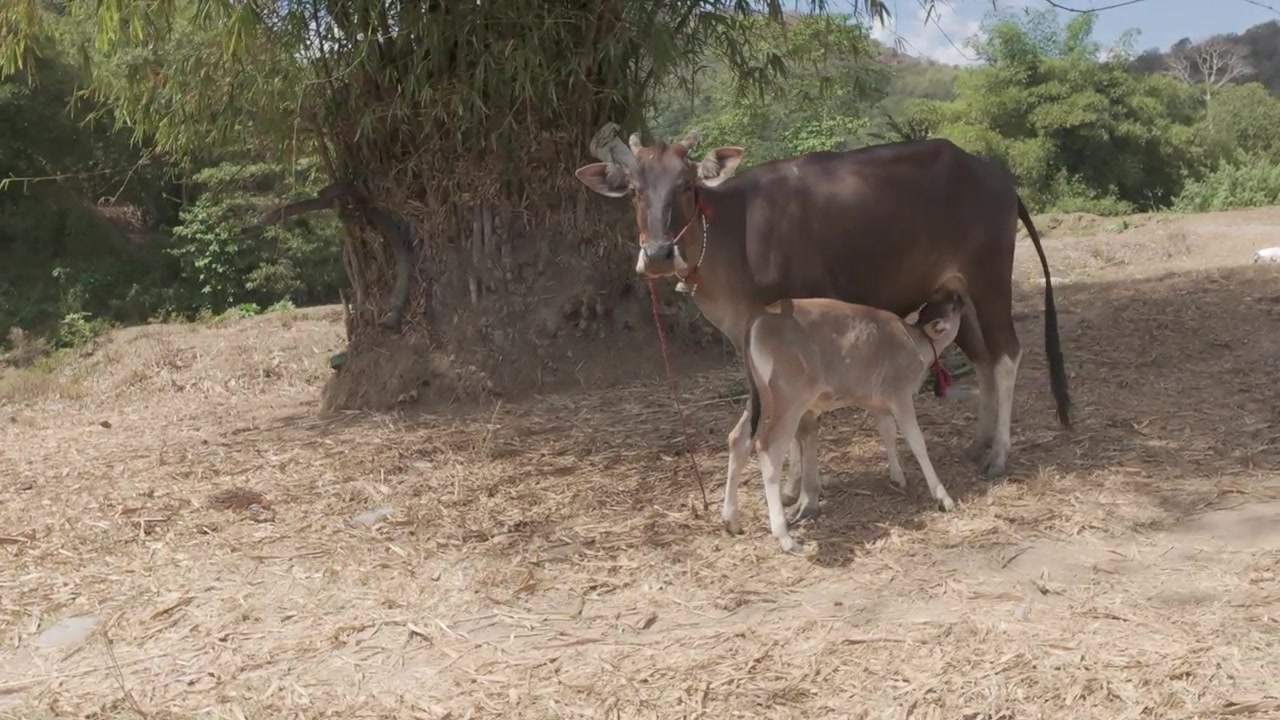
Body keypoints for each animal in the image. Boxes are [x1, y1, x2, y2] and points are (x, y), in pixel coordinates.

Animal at [573, 123, 1070, 523]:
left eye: (686, 184)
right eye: (634, 189)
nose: (658, 255)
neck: (734, 236)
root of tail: (997, 178)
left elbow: (804, 423)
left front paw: (803, 495)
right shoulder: (748, 340)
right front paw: (793, 488)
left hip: (989, 280)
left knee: (1006, 356)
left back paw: (999, 454)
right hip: (958, 297)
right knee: (984, 361)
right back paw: (979, 443)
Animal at [725, 279, 968, 553]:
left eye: (942, 296)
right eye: (952, 304)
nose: (959, 291)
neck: (915, 343)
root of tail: (760, 317)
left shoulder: (877, 403)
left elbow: (887, 433)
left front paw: (897, 477)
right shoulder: (900, 393)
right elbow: (917, 442)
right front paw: (943, 497)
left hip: (761, 398)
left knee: (739, 438)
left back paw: (731, 520)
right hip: (789, 398)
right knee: (769, 448)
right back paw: (785, 537)